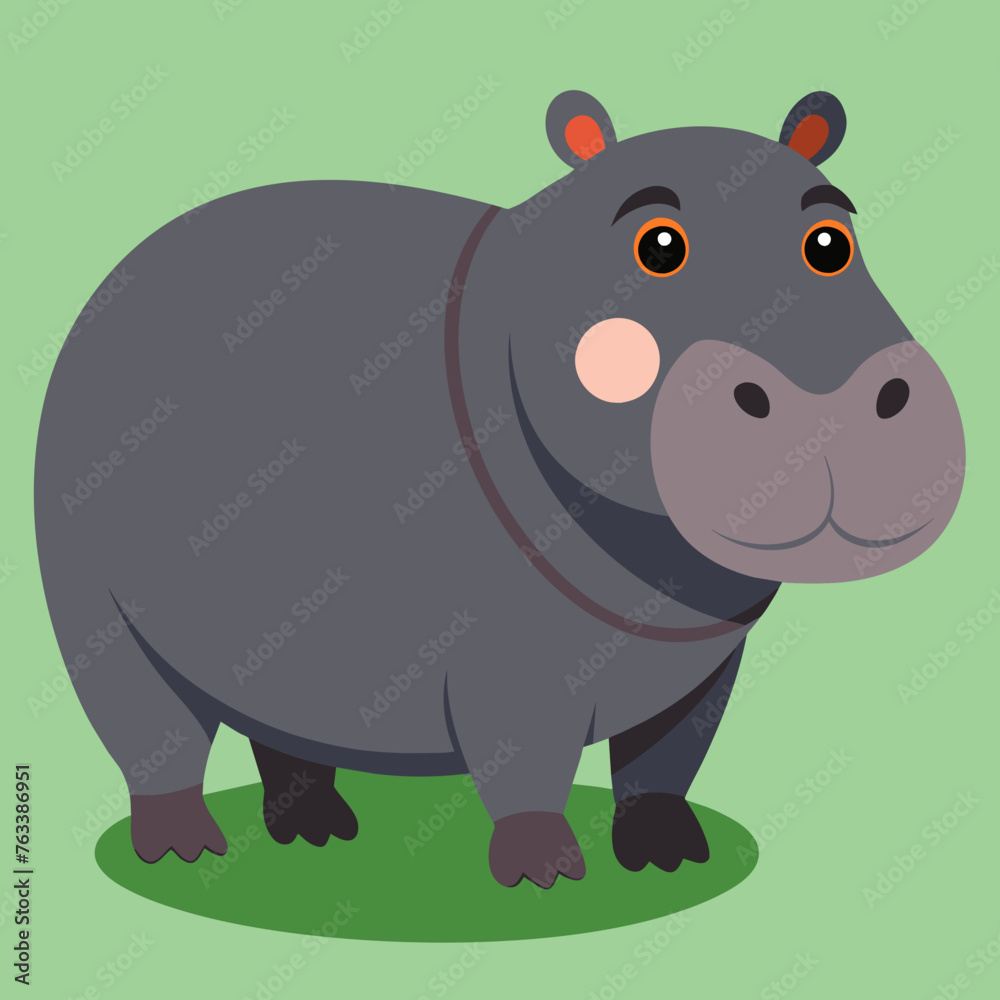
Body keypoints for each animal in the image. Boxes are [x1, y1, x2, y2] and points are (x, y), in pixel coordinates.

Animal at [34, 90, 964, 889]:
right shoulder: (509, 666)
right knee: (152, 736)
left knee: (281, 734)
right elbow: (528, 768)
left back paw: (318, 832)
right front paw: (544, 876)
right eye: (658, 244)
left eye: (832, 239)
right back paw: (181, 851)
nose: (829, 403)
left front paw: (670, 858)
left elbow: (663, 764)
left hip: (271, 644)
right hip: (98, 619)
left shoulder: (705, 667)